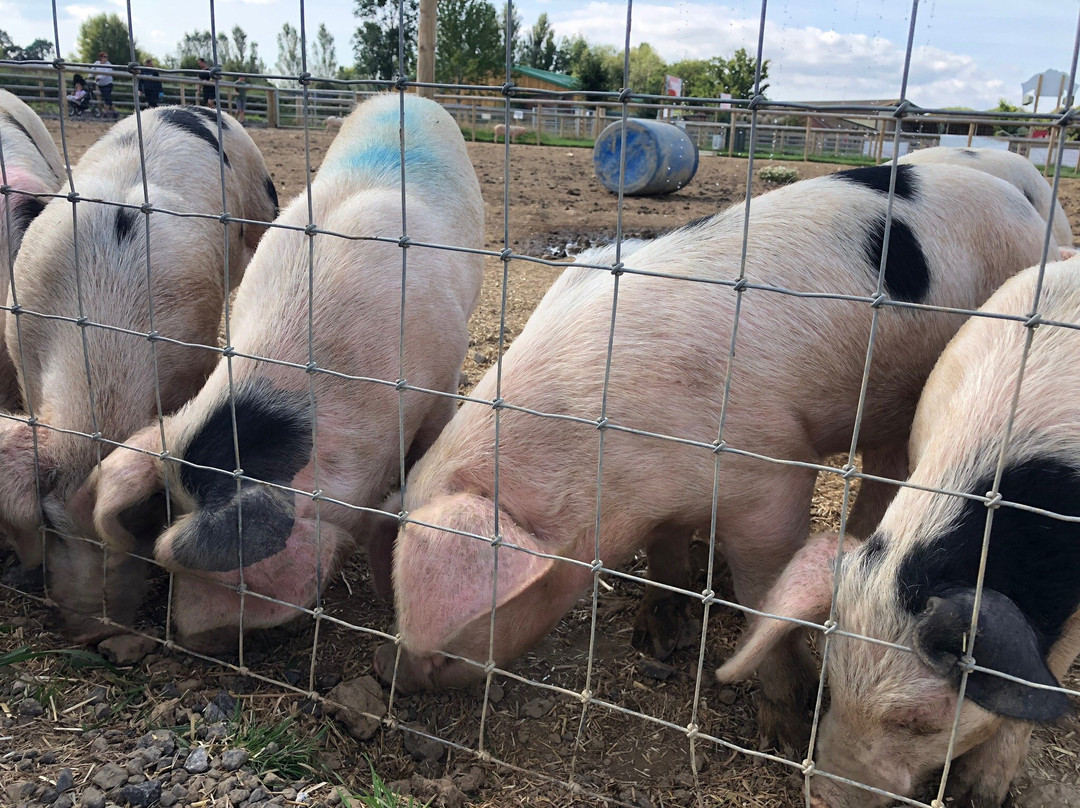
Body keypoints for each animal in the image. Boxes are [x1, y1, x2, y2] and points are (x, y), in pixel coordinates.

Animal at [3, 105, 278, 639]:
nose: (97, 632)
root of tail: (192, 107)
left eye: (144, 525)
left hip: (260, 206)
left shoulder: (194, 353)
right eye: (52, 527)